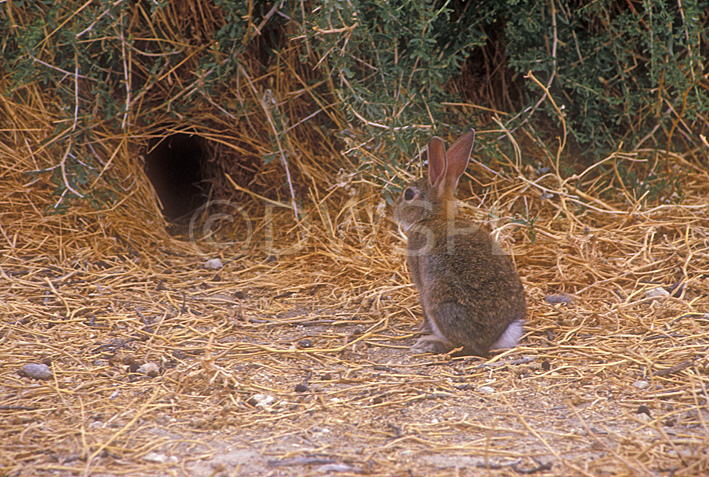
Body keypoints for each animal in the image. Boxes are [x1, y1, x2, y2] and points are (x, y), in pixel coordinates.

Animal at [392, 130, 524, 356]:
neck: (433, 217)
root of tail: (496, 337)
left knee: (464, 346)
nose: (394, 211)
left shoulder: (420, 278)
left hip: (438, 297)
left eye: (408, 194)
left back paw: (429, 342)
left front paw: (422, 328)